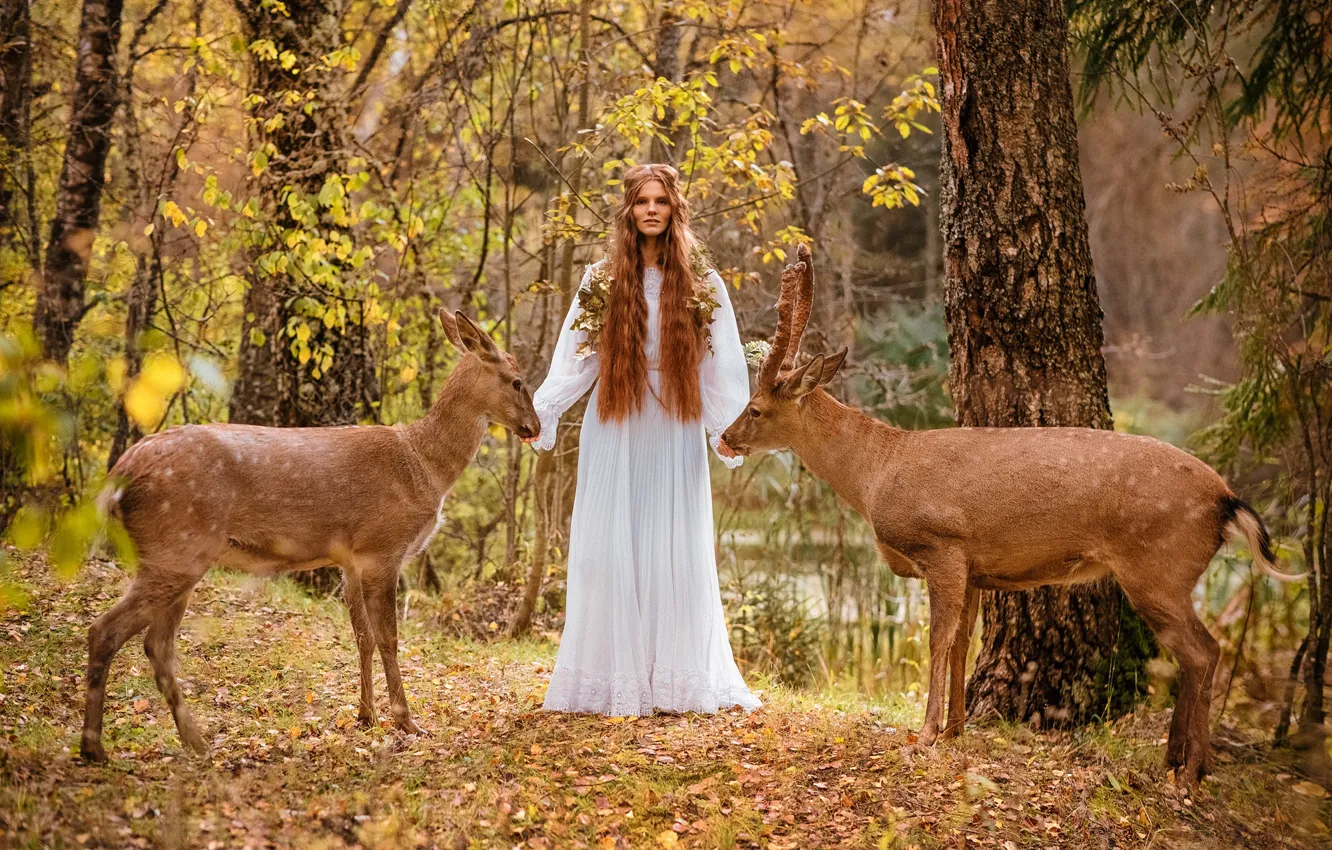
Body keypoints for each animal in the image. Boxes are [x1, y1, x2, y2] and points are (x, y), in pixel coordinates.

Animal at [82, 311, 539, 763]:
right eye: (518, 381)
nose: (533, 426)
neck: (424, 467)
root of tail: (116, 478)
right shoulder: (382, 548)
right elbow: (390, 639)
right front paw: (407, 722)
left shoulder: (351, 560)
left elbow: (363, 638)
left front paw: (366, 716)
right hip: (176, 547)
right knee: (106, 630)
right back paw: (94, 748)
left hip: (179, 556)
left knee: (156, 645)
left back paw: (196, 743)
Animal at [721, 245, 1297, 787]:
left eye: (755, 407)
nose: (725, 437)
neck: (877, 473)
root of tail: (1227, 500)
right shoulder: (974, 566)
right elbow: (962, 643)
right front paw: (954, 729)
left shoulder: (943, 544)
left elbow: (938, 639)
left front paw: (924, 734)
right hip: (1166, 573)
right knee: (1196, 653)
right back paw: (1178, 761)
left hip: (1158, 567)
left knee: (1203, 651)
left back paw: (1190, 770)